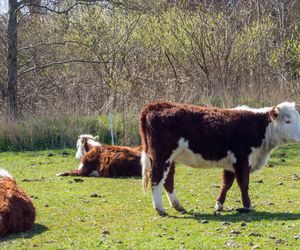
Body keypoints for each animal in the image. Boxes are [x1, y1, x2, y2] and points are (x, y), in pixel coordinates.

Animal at [139, 100, 300, 214]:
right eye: (287, 121)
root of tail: (156, 105)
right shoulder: (241, 159)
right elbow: (243, 184)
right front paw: (248, 206)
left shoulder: (231, 164)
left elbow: (226, 184)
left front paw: (219, 205)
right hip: (161, 157)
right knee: (157, 179)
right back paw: (160, 208)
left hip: (171, 159)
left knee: (168, 181)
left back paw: (178, 206)